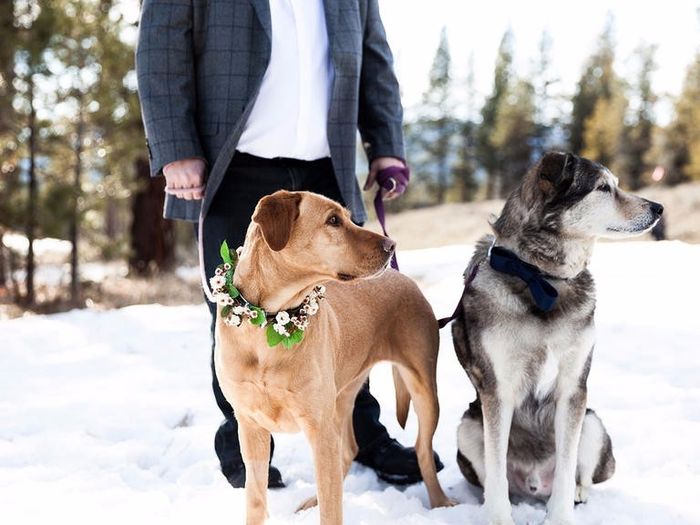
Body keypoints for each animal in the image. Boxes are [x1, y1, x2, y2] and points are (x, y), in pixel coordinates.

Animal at [215, 190, 454, 520]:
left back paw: (441, 503)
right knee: (349, 451)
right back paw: (311, 501)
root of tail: (402, 277)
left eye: (348, 218)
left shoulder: (320, 429)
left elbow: (332, 510)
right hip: (343, 394)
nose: (391, 245)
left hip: (423, 387)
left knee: (422, 450)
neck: (270, 323)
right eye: (332, 221)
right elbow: (256, 499)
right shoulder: (250, 426)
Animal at [452, 151, 664, 524]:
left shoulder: (573, 388)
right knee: (494, 476)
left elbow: (567, 467)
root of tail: (534, 483)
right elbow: (496, 468)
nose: (659, 208)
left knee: (582, 475)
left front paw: (560, 517)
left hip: (593, 423)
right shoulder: (497, 390)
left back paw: (578, 494)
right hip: (467, 426)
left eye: (617, 184)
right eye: (603, 188)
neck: (542, 278)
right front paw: (499, 518)